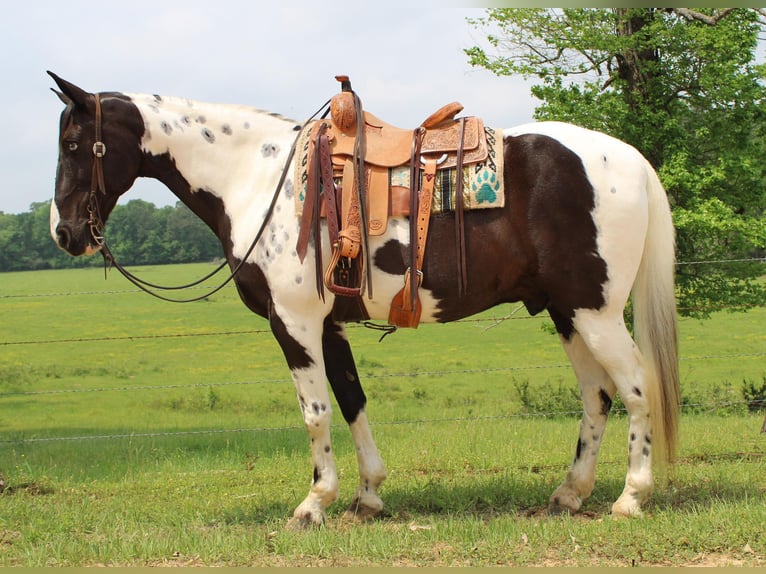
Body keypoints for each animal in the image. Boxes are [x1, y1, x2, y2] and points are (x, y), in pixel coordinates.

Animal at [48, 73, 680, 532]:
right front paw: (368, 494)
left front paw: (313, 504)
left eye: (75, 144)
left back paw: (630, 497)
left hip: (594, 313)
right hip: (566, 312)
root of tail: (629, 159)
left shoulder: (294, 322)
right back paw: (569, 494)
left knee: (634, 388)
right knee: (596, 396)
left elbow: (316, 411)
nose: (64, 233)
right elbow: (352, 401)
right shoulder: (330, 326)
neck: (257, 178)